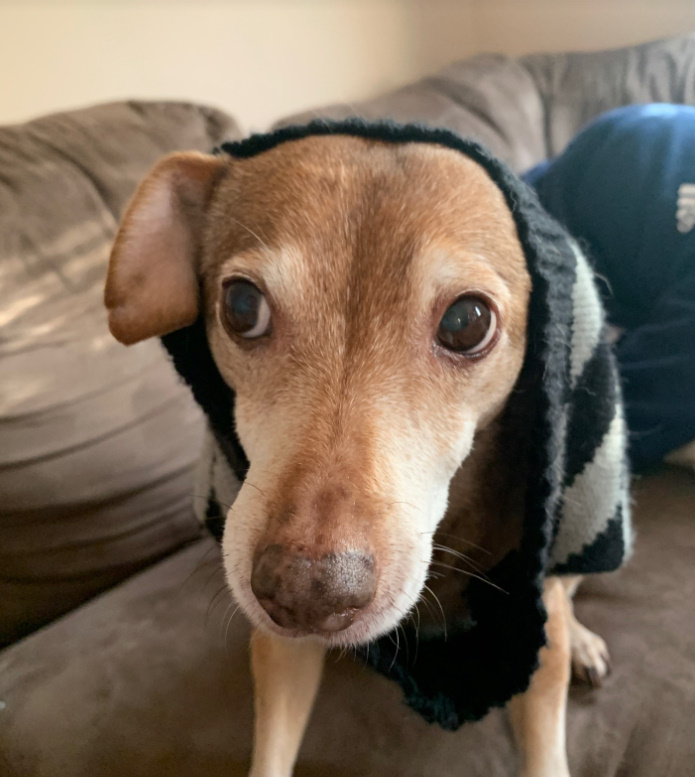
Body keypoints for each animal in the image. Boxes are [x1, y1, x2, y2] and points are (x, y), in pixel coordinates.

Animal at [104, 133, 616, 776]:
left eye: (468, 322)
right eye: (241, 307)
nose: (306, 593)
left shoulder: (535, 614)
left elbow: (546, 743)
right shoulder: (280, 648)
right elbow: (271, 750)